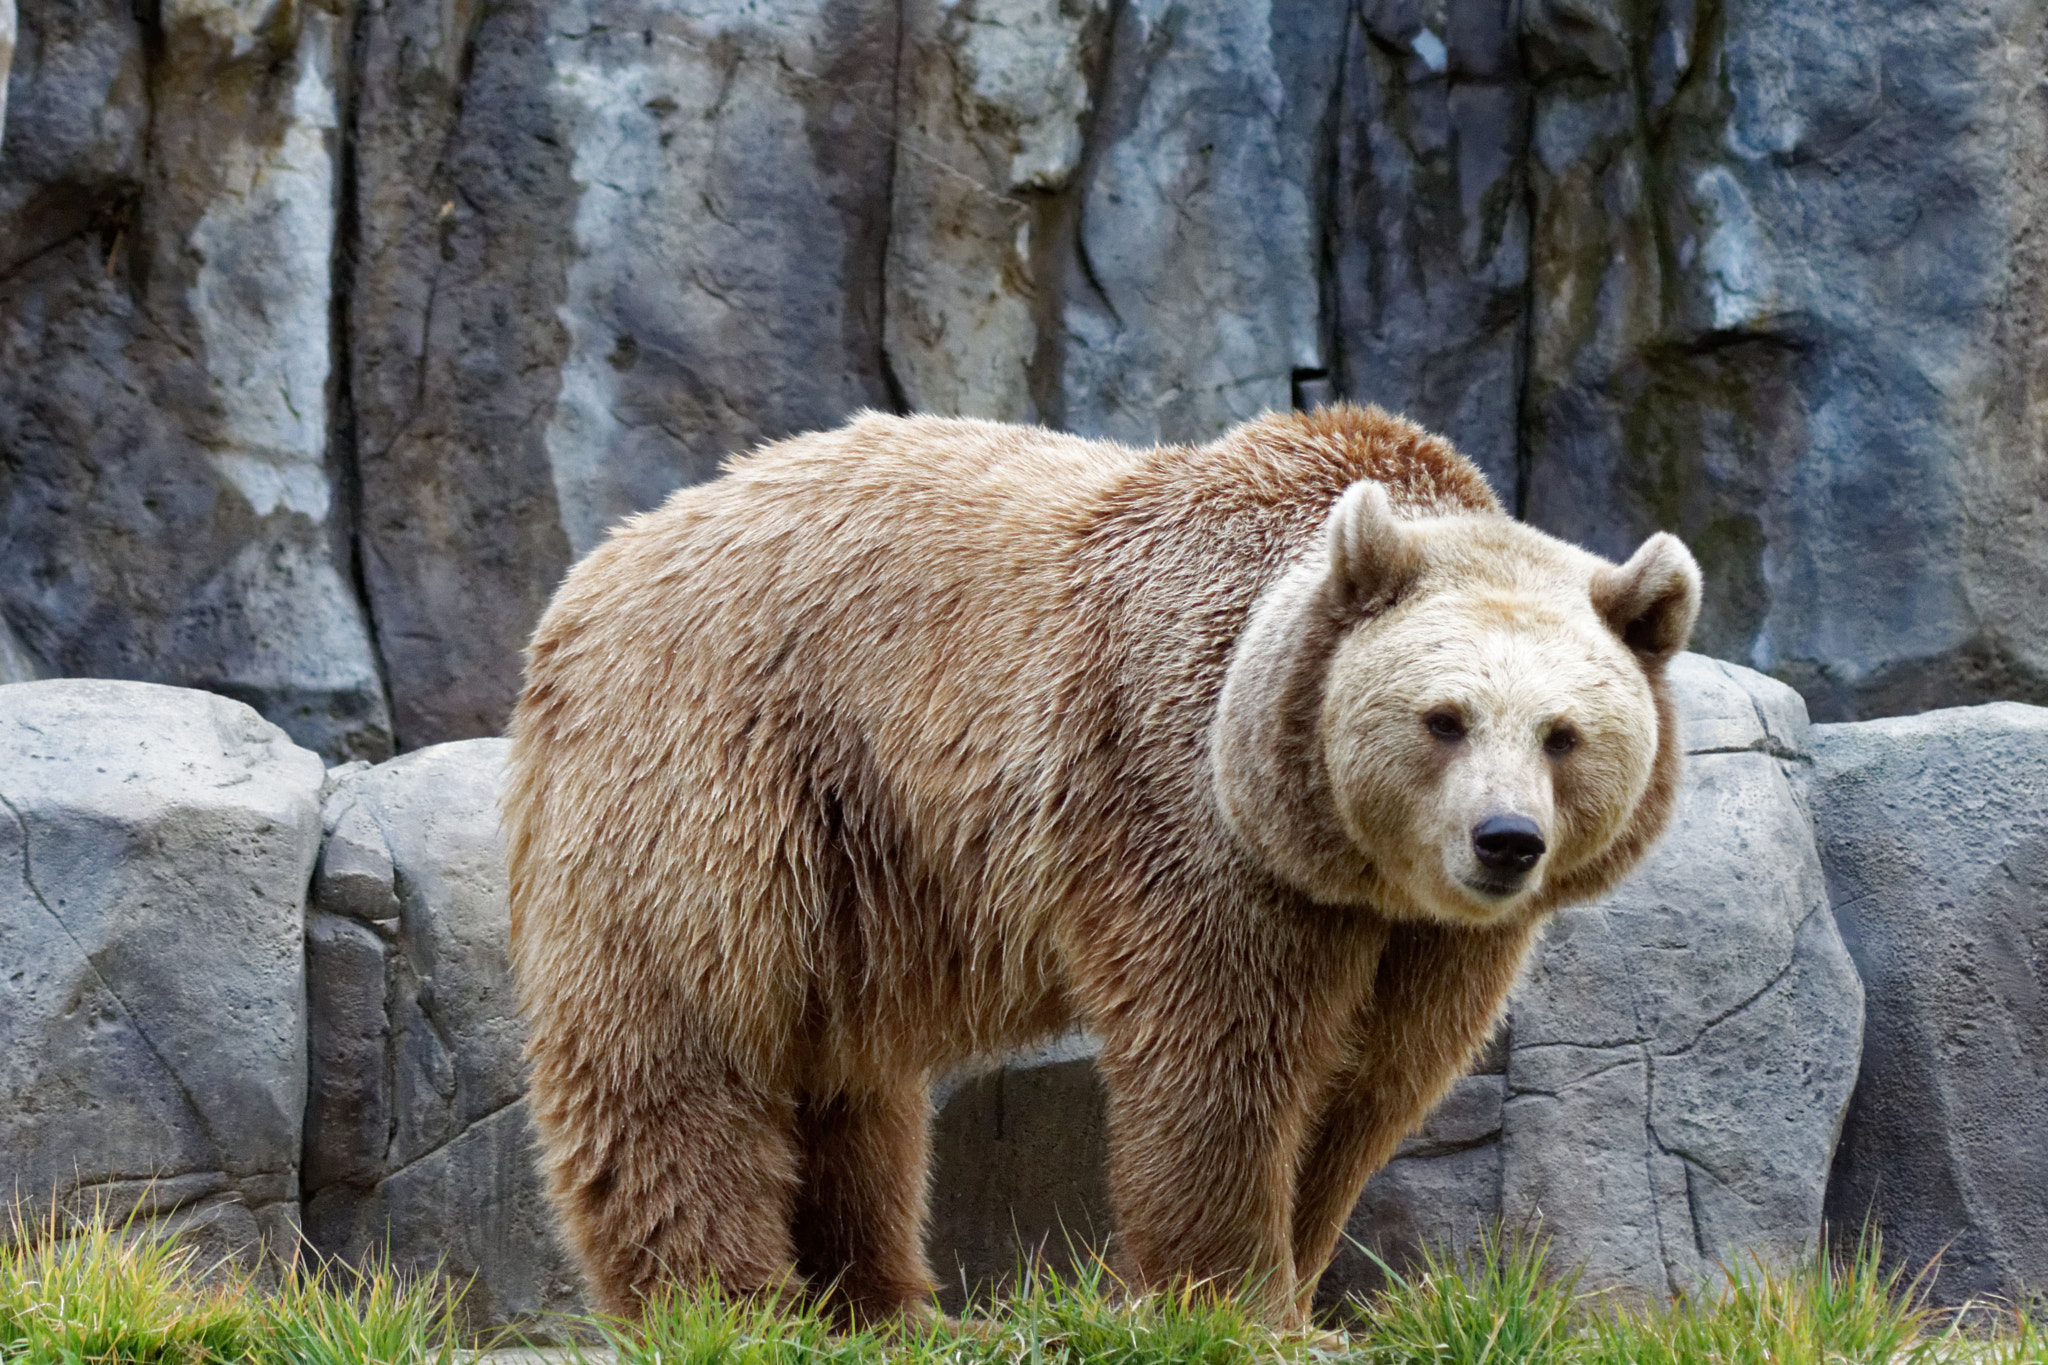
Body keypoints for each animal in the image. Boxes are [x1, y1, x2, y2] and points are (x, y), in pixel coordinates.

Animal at [503, 403, 1701, 1326]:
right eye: (1443, 718)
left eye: (1563, 734)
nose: (1504, 840)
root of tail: (600, 564)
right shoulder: (1184, 803)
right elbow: (1222, 1059)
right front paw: (1236, 1303)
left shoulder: (1428, 932)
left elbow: (1371, 1083)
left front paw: (1304, 1277)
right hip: (720, 755)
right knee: (681, 1029)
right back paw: (720, 1300)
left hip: (858, 866)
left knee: (847, 1070)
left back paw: (884, 1300)